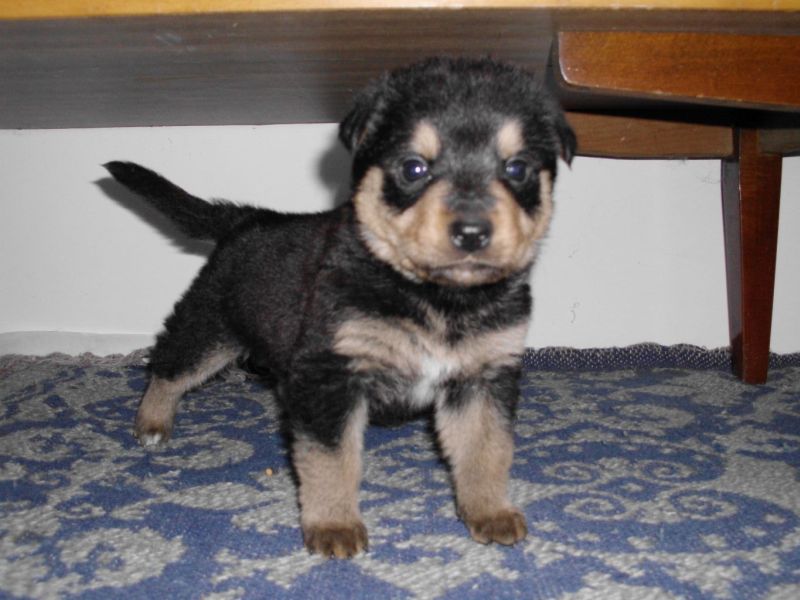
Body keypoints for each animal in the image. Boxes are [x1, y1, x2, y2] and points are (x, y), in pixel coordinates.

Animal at [105, 56, 576, 558]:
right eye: (413, 168)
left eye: (517, 167)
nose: (472, 232)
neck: (436, 296)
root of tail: (249, 218)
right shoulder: (330, 373)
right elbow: (333, 459)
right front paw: (334, 526)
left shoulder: (483, 376)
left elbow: (485, 450)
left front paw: (490, 512)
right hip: (210, 324)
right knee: (170, 366)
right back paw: (152, 422)